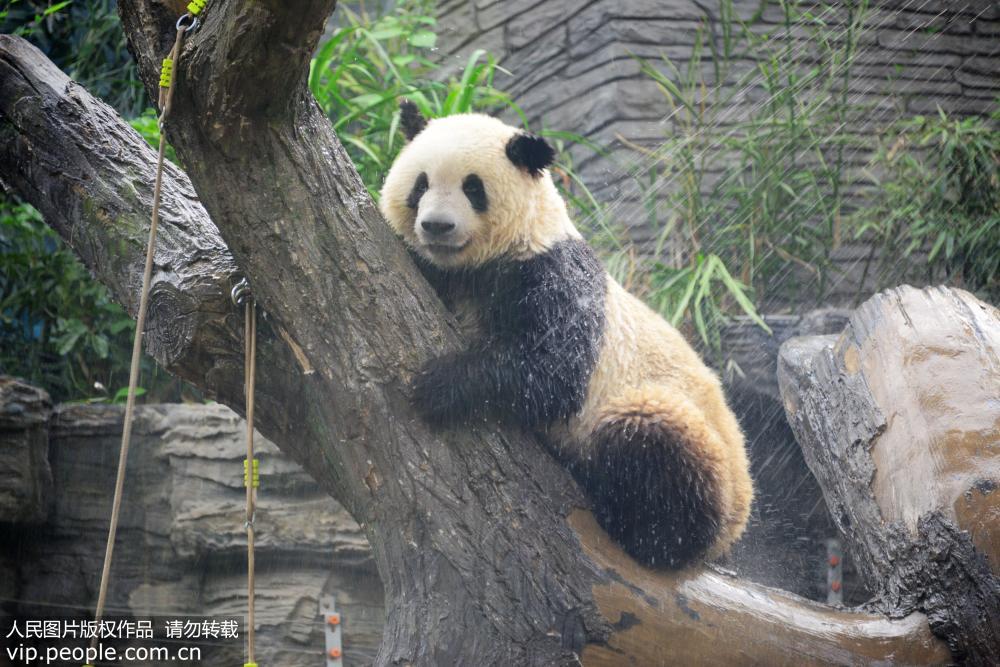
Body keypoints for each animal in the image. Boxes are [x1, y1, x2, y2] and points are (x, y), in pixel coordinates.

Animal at [378, 100, 752, 568]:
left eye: (473, 188)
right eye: (421, 184)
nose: (437, 226)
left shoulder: (553, 274)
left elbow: (553, 372)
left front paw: (437, 385)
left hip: (680, 429)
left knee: (654, 444)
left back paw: (646, 532)